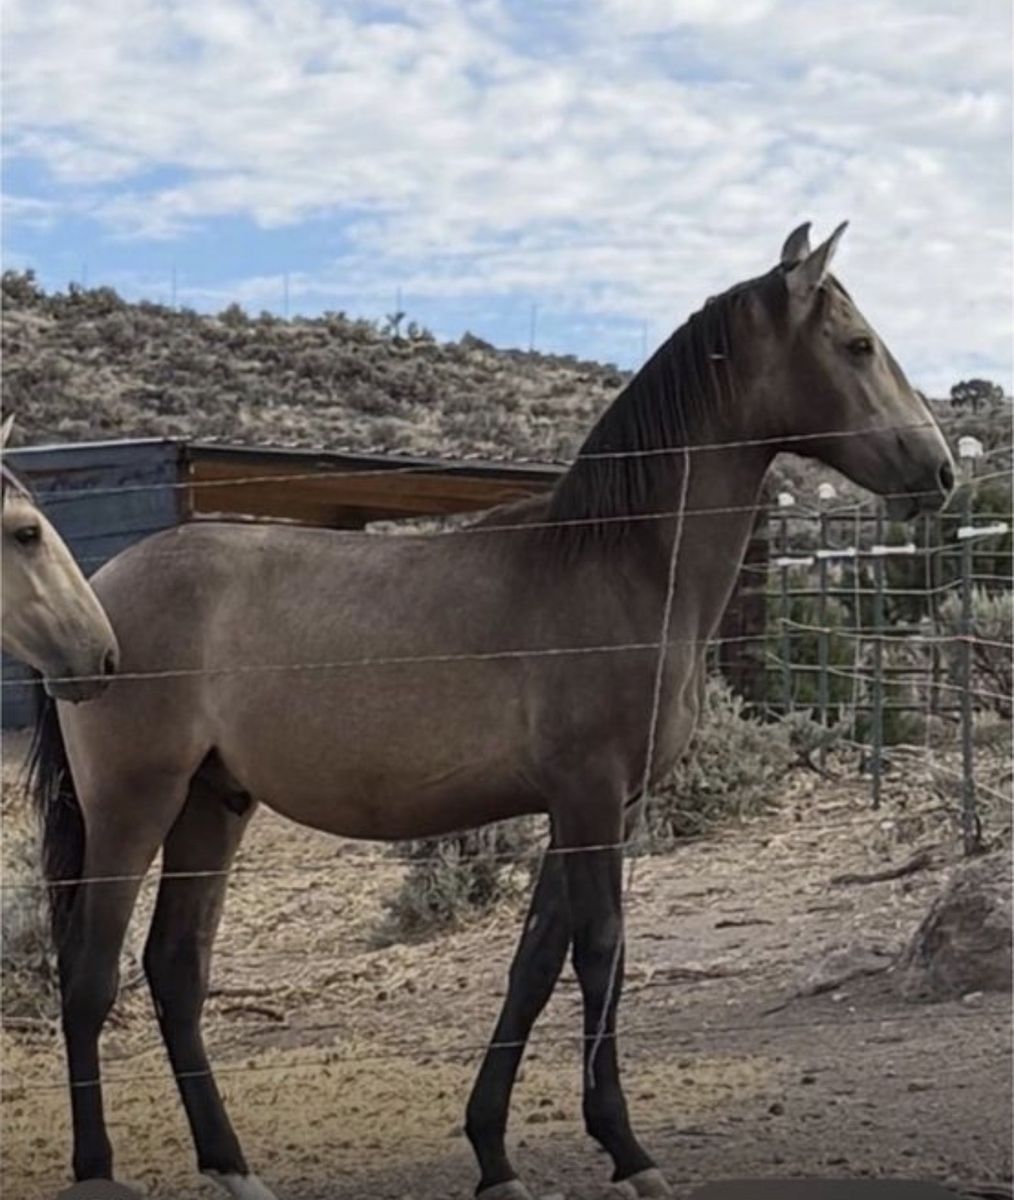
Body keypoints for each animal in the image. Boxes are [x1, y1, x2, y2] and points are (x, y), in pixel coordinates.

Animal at [28, 223, 955, 1200]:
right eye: (858, 345)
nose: (939, 471)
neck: (615, 563)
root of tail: (95, 603)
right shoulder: (590, 798)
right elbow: (601, 954)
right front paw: (627, 1151)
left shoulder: (590, 806)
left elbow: (534, 965)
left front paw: (493, 1154)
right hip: (134, 806)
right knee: (90, 976)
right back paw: (98, 1170)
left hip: (213, 804)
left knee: (174, 970)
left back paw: (233, 1166)